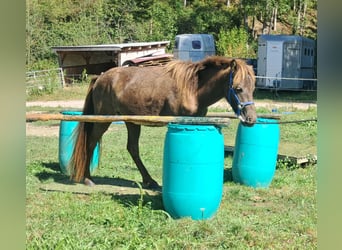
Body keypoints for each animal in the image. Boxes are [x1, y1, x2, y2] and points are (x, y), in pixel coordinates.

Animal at [69, 56, 256, 188]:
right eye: (238, 88)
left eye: (252, 88)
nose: (251, 119)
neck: (193, 89)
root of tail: (99, 78)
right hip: (103, 120)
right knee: (91, 143)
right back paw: (88, 178)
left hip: (132, 122)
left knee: (132, 149)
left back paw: (149, 181)